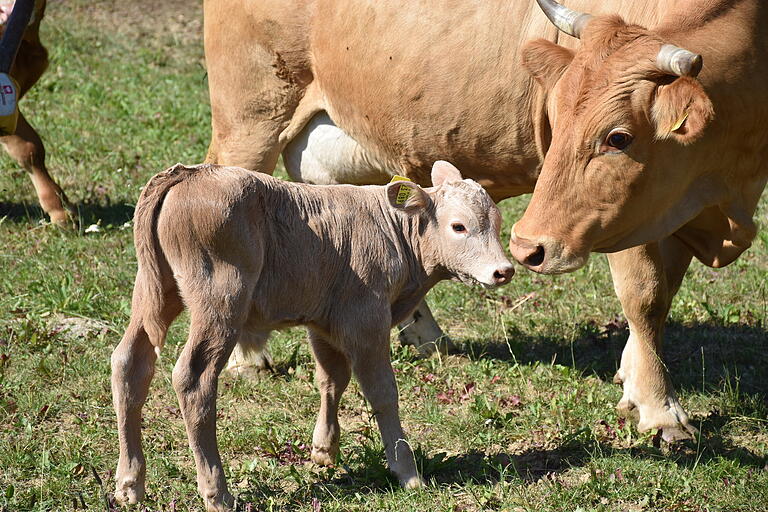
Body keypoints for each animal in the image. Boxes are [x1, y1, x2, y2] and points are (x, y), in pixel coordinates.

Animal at [109, 162, 516, 510]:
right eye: (459, 227)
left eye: (496, 222)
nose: (504, 271)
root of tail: (191, 173)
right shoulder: (367, 320)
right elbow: (382, 393)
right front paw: (406, 470)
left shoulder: (324, 322)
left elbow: (331, 379)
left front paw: (324, 451)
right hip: (220, 301)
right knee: (194, 379)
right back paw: (217, 493)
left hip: (153, 292)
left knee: (129, 363)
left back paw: (130, 485)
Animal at [201, 0, 764, 440]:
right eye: (553, 117)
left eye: (618, 136)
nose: (526, 246)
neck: (725, 192)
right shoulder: (633, 215)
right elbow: (645, 296)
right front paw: (660, 409)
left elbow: (665, 291)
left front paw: (631, 381)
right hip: (252, 114)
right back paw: (248, 356)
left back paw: (422, 333)